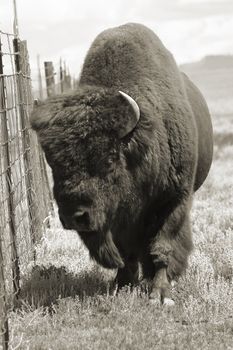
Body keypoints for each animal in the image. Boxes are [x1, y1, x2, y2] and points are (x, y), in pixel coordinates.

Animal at [31, 23, 213, 304]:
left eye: (108, 159)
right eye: (53, 163)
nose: (75, 216)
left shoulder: (174, 198)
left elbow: (164, 245)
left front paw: (160, 294)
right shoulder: (117, 217)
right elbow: (126, 250)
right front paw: (122, 284)